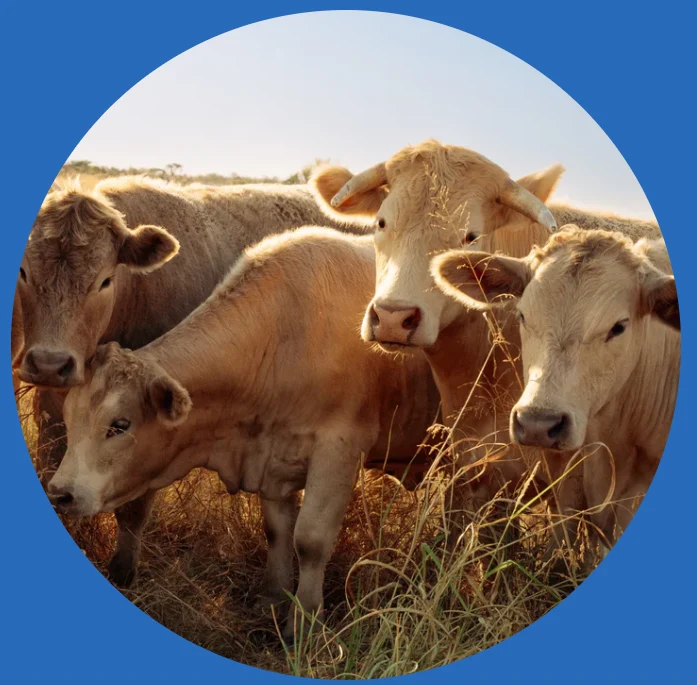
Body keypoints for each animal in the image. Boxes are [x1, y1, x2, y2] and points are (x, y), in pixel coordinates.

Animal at [47, 226, 440, 640]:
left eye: (119, 425)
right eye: (70, 420)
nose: (60, 493)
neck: (284, 335)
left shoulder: (338, 450)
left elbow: (311, 540)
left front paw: (303, 622)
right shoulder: (274, 457)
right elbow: (277, 530)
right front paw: (274, 599)